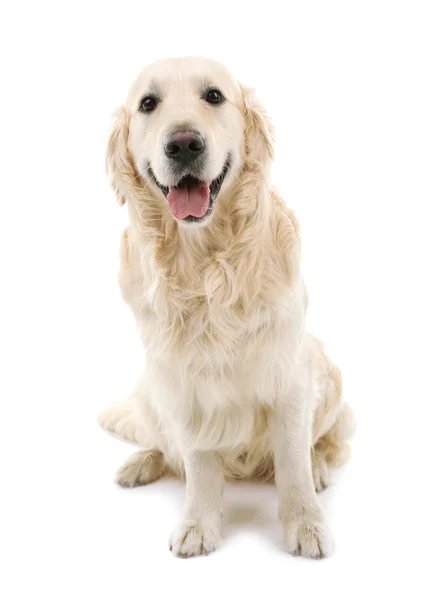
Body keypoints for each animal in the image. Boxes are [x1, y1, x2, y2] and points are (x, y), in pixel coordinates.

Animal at [98, 56, 354, 556]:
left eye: (214, 96)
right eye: (148, 104)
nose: (183, 144)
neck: (206, 267)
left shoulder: (288, 373)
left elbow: (292, 458)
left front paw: (306, 523)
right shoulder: (182, 379)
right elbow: (197, 462)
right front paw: (199, 523)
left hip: (327, 372)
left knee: (318, 446)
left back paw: (318, 467)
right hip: (151, 388)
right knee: (164, 446)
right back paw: (140, 463)